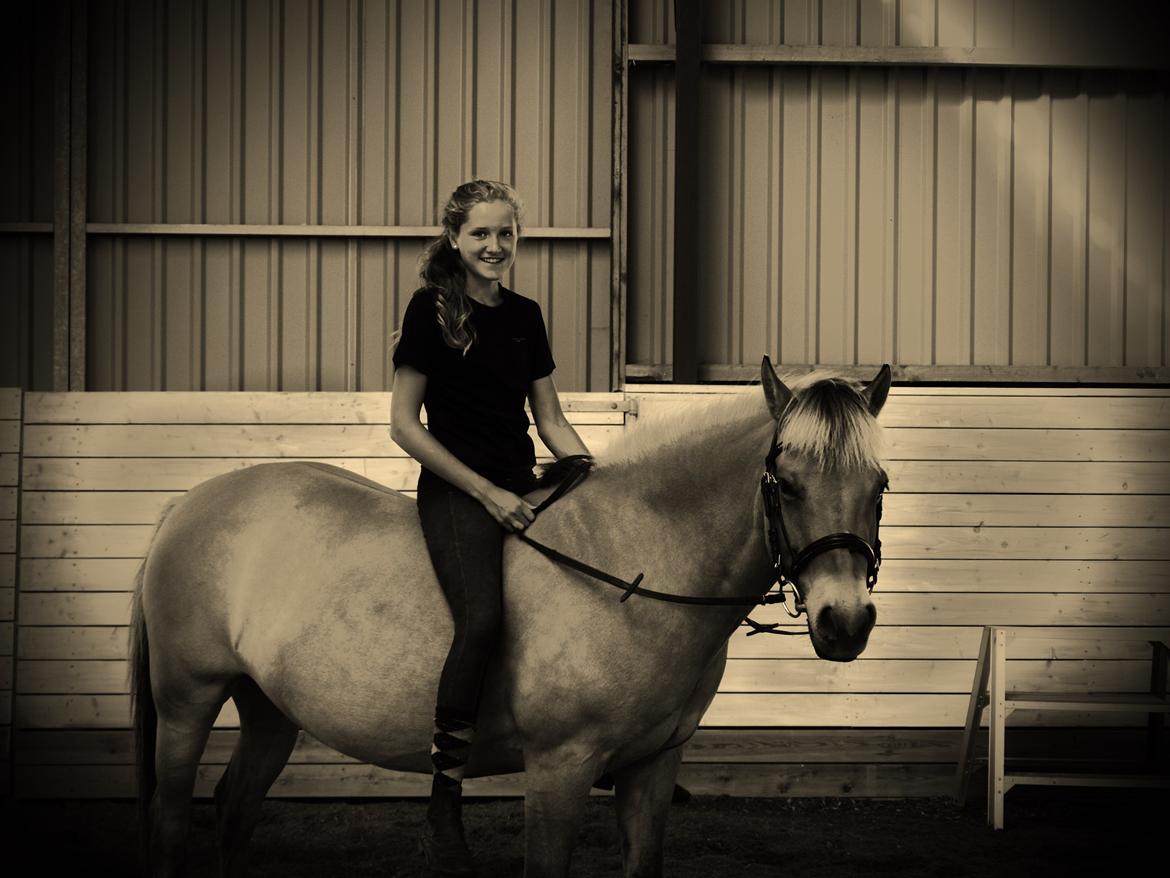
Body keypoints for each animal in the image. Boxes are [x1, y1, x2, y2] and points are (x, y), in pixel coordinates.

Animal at [129, 357, 892, 877]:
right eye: (786, 486)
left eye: (879, 487)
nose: (846, 622)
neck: (636, 565)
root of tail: (191, 502)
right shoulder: (560, 767)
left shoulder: (652, 768)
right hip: (188, 701)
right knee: (169, 825)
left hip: (268, 710)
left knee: (233, 810)